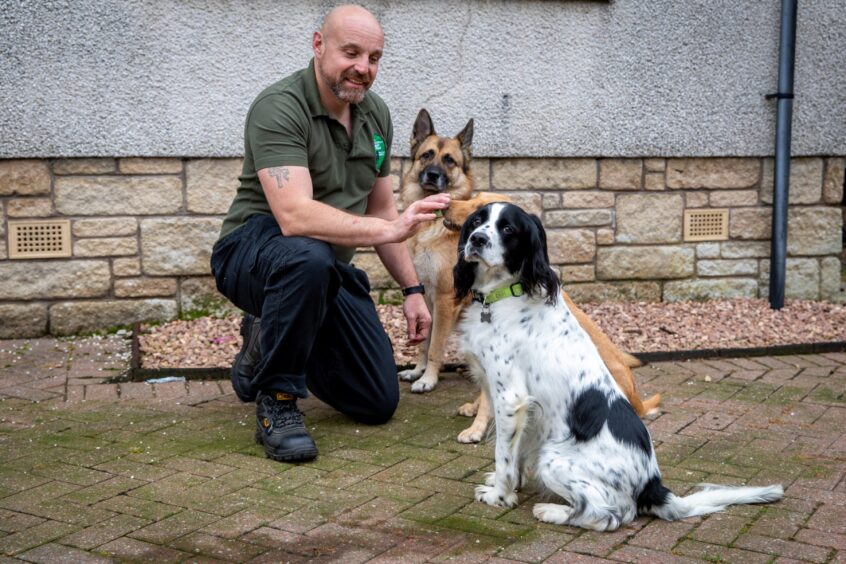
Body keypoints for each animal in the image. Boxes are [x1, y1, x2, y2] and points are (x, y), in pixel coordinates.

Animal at [400, 109, 660, 446]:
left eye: (449, 161)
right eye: (426, 155)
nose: (444, 202)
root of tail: (638, 402)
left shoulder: (445, 299)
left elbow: (434, 347)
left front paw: (431, 382)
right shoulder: (429, 295)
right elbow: (424, 342)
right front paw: (420, 373)